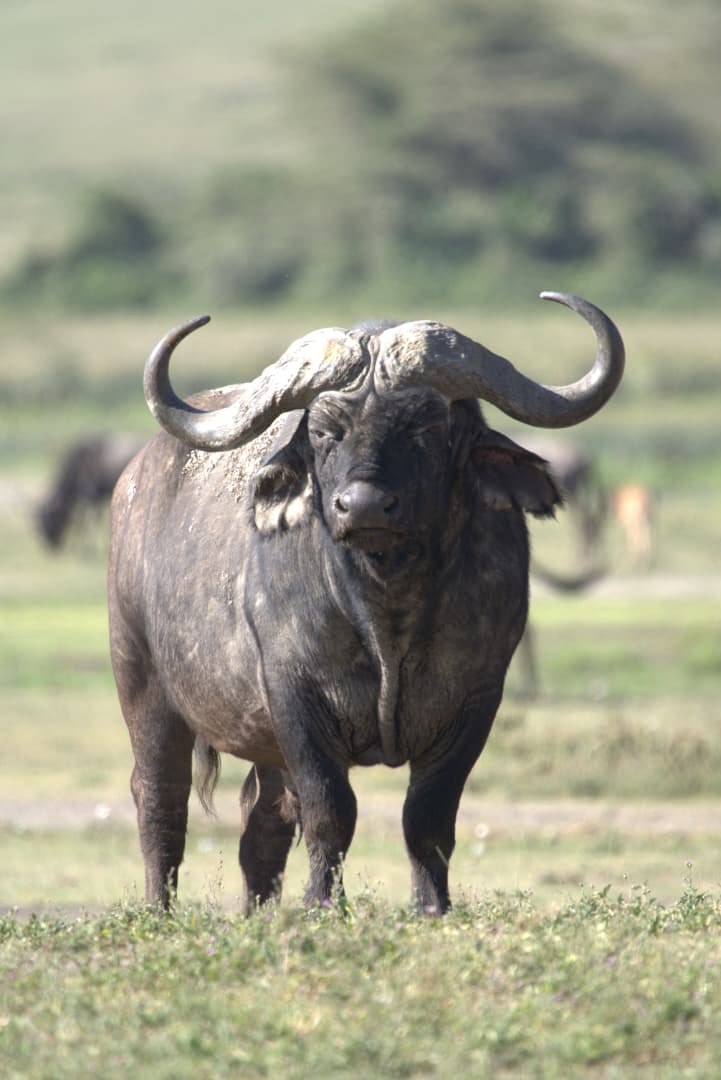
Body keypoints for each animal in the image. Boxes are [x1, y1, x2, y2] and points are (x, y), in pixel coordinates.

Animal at [108, 292, 624, 913]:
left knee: (263, 825)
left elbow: (427, 817)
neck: (387, 614)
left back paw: (259, 913)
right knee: (161, 796)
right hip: (142, 682)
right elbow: (330, 811)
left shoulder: (477, 701)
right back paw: (158, 908)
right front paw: (323, 904)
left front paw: (432, 905)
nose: (364, 506)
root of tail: (134, 479)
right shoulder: (294, 700)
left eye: (427, 426)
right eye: (324, 430)